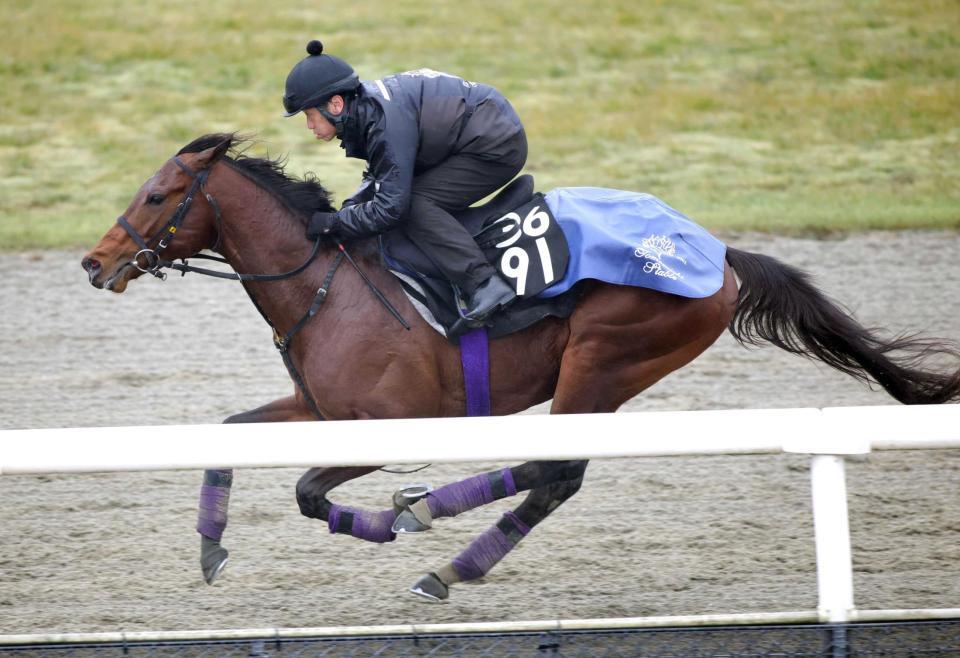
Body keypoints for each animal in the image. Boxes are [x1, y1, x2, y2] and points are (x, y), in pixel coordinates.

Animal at [81, 133, 960, 601]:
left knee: (554, 468)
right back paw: (448, 558)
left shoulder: (395, 424)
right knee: (554, 477)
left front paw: (390, 516)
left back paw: (436, 536)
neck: (327, 284)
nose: (94, 263)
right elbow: (230, 433)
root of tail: (718, 256)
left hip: (603, 360)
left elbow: (305, 492)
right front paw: (209, 548)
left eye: (158, 195)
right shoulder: (316, 410)